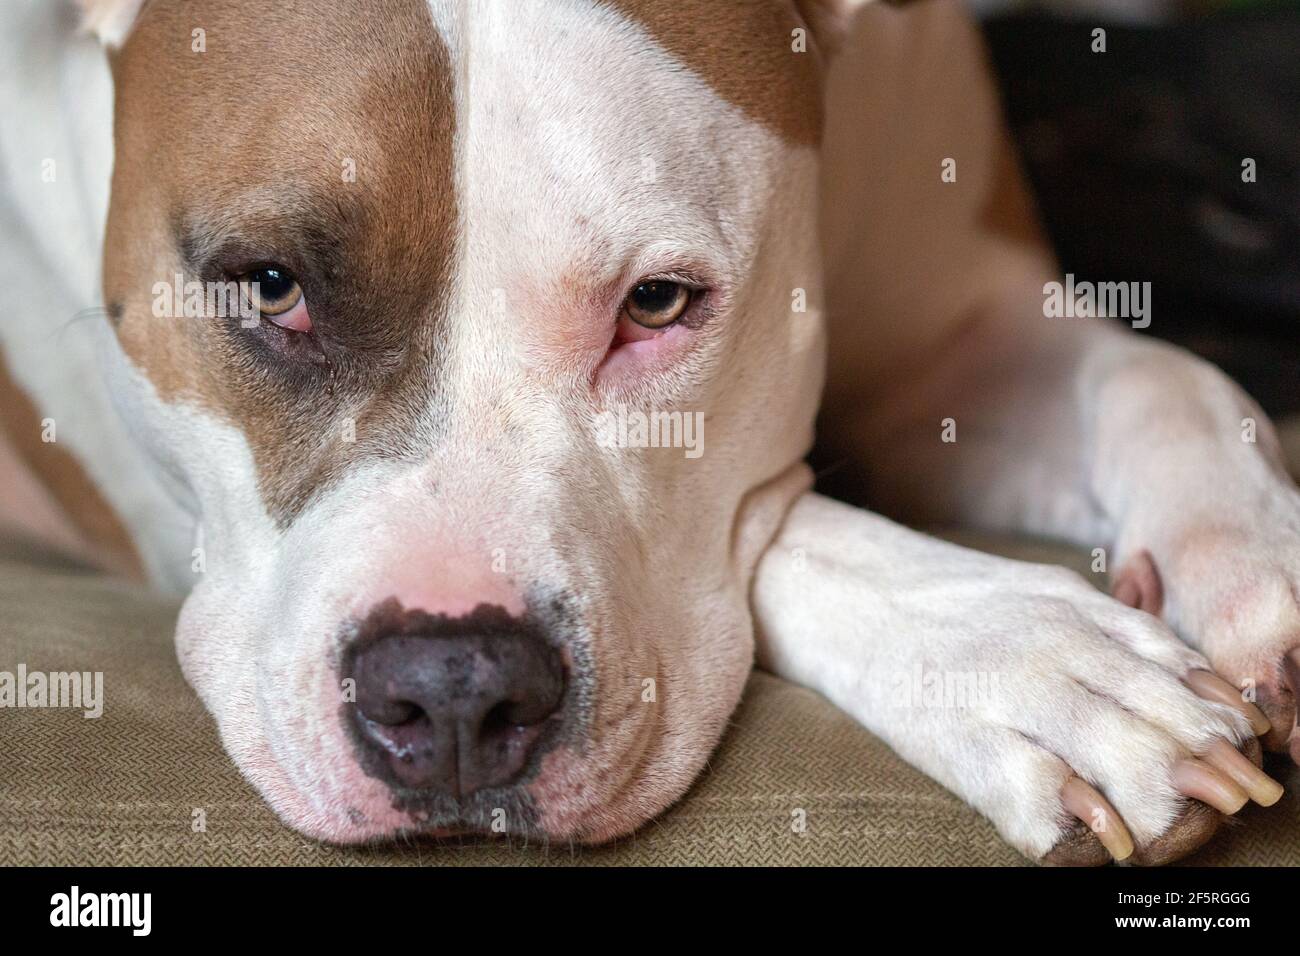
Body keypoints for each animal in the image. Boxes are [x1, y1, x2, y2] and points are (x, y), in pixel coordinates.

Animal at [0, 0, 1294, 868]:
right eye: (270, 286)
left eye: (658, 302)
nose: (454, 687)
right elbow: (799, 526)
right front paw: (1037, 658)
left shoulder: (960, 344)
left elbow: (1164, 373)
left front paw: (1248, 550)